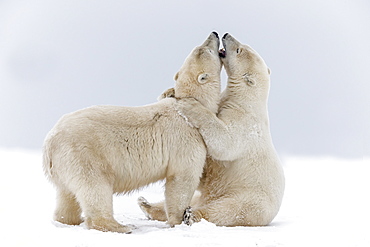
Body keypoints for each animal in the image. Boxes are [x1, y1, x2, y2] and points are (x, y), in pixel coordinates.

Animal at [43, 31, 223, 233]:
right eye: (206, 49)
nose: (215, 33)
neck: (192, 107)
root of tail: (49, 145)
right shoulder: (186, 139)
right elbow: (182, 179)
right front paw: (180, 219)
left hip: (64, 166)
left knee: (66, 195)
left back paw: (69, 220)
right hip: (85, 155)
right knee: (95, 188)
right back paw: (121, 226)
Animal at [139, 33, 286, 227]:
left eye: (239, 50)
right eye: (242, 46)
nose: (225, 35)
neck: (247, 101)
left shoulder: (244, 124)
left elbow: (224, 142)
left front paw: (189, 105)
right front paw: (168, 92)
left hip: (247, 199)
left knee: (224, 210)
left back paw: (191, 215)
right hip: (211, 194)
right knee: (196, 196)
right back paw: (146, 205)